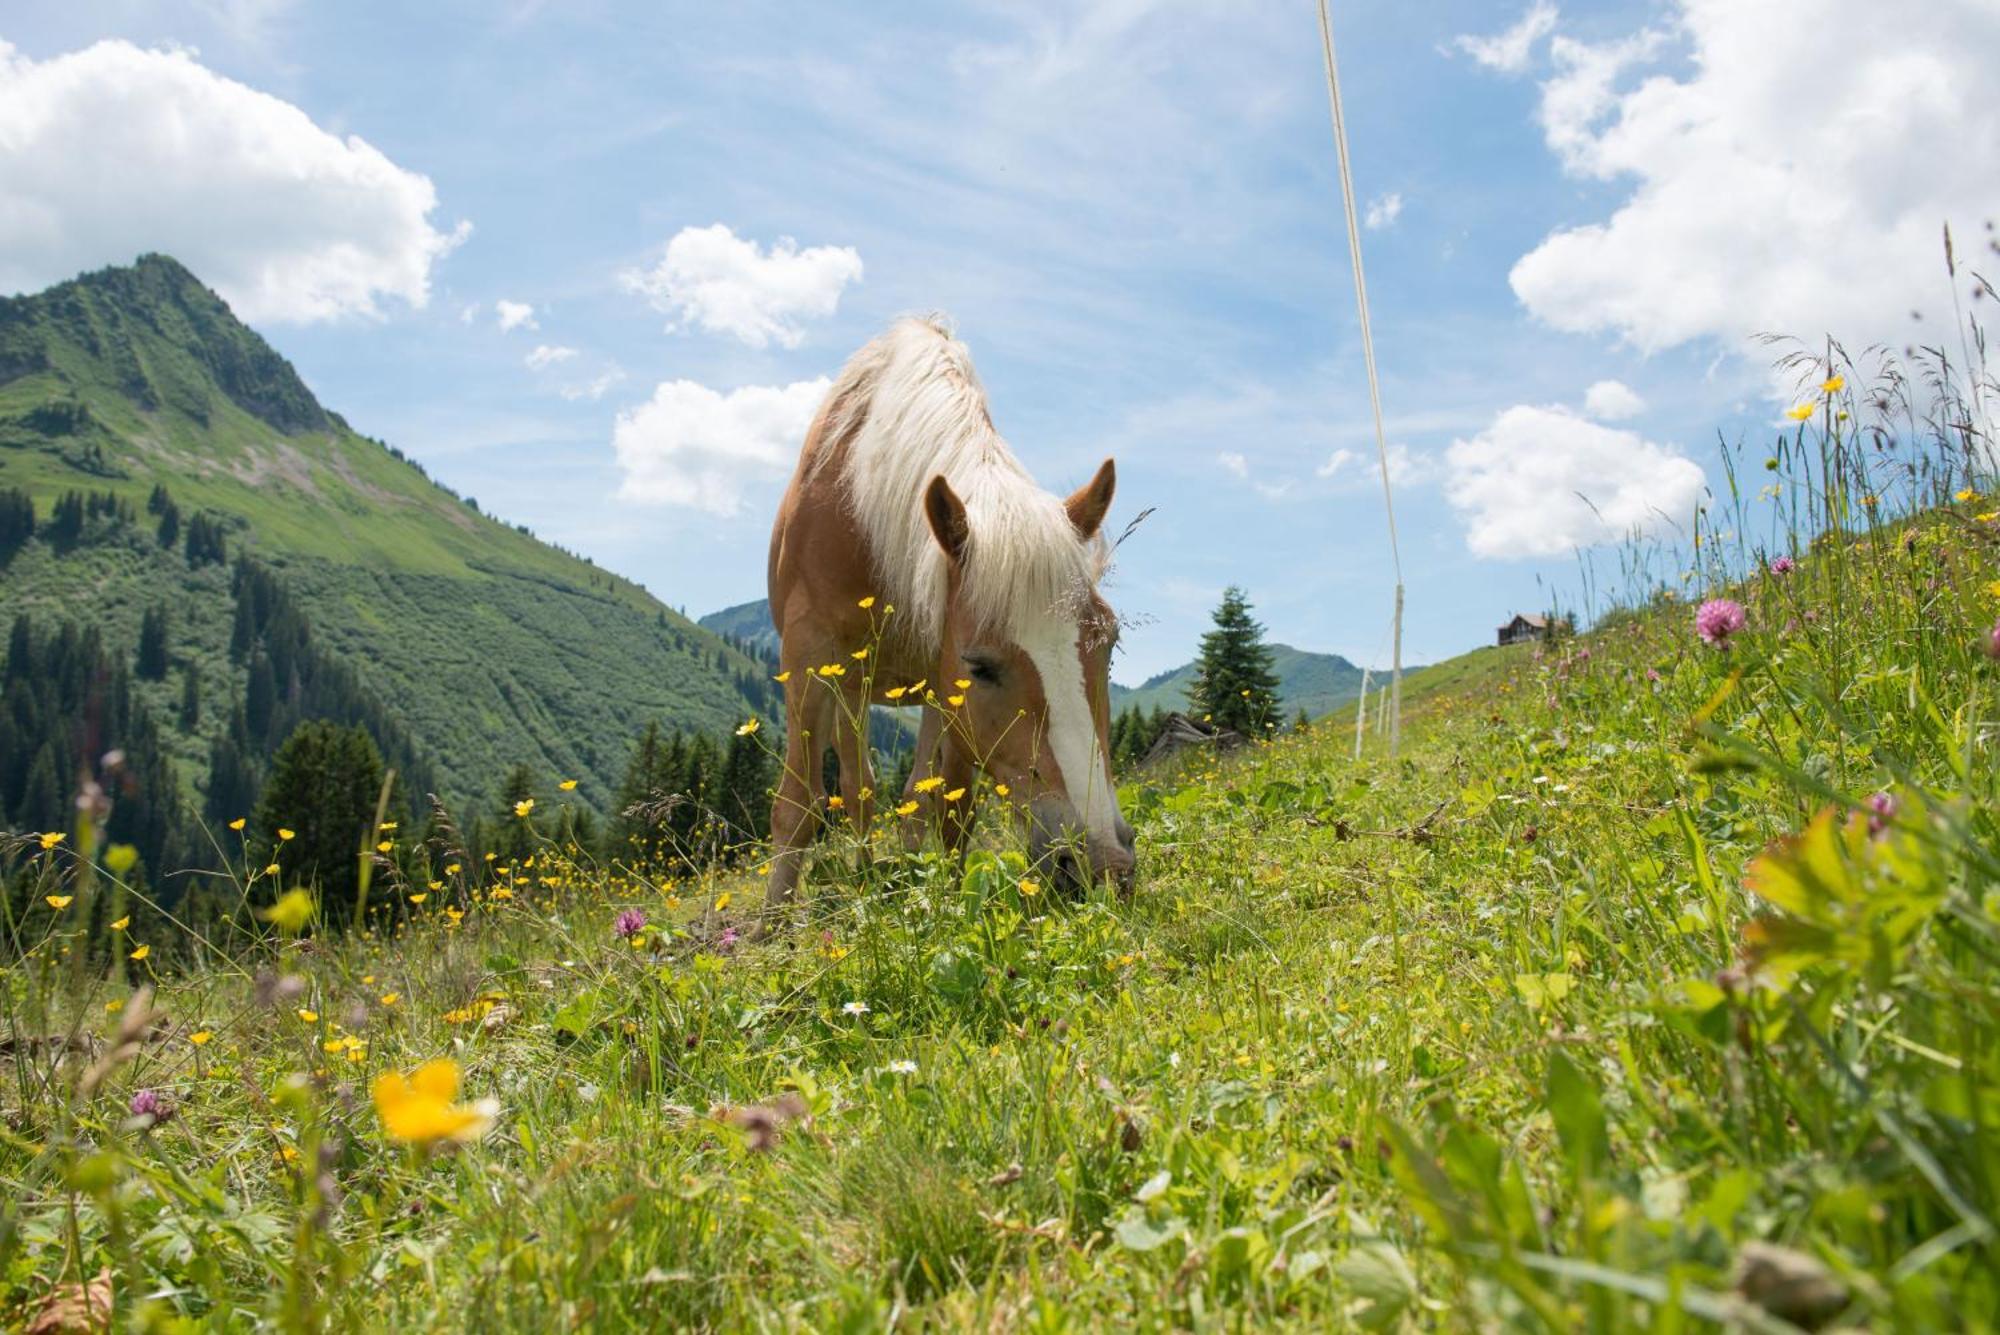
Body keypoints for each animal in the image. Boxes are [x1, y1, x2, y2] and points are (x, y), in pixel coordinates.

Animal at [768, 313, 1144, 907]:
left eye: (1108, 643)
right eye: (981, 666)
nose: (1104, 863)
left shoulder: (941, 684)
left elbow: (949, 805)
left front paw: (943, 891)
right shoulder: (806, 654)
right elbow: (797, 808)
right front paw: (773, 923)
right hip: (846, 689)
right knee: (858, 789)